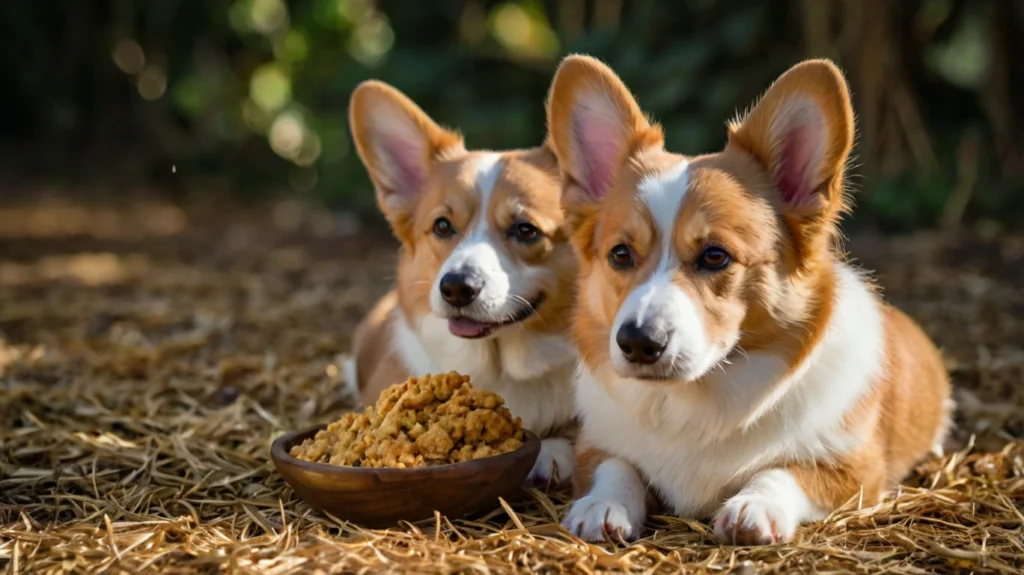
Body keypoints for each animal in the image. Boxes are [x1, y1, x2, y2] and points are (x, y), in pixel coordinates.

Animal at [544, 56, 950, 544]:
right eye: (620, 254)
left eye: (715, 255)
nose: (638, 342)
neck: (695, 401)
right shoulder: (597, 445)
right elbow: (614, 466)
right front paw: (602, 504)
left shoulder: (853, 470)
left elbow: (784, 471)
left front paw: (755, 506)